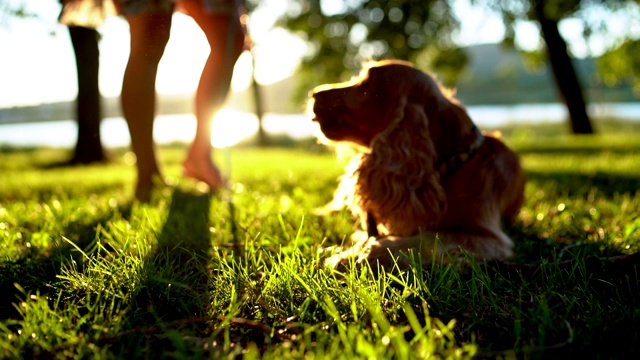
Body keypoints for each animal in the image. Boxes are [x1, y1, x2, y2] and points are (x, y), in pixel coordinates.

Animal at [310, 60, 524, 270]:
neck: (450, 165)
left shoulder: (488, 238)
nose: (313, 93)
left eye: (366, 84)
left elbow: (427, 237)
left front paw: (359, 253)